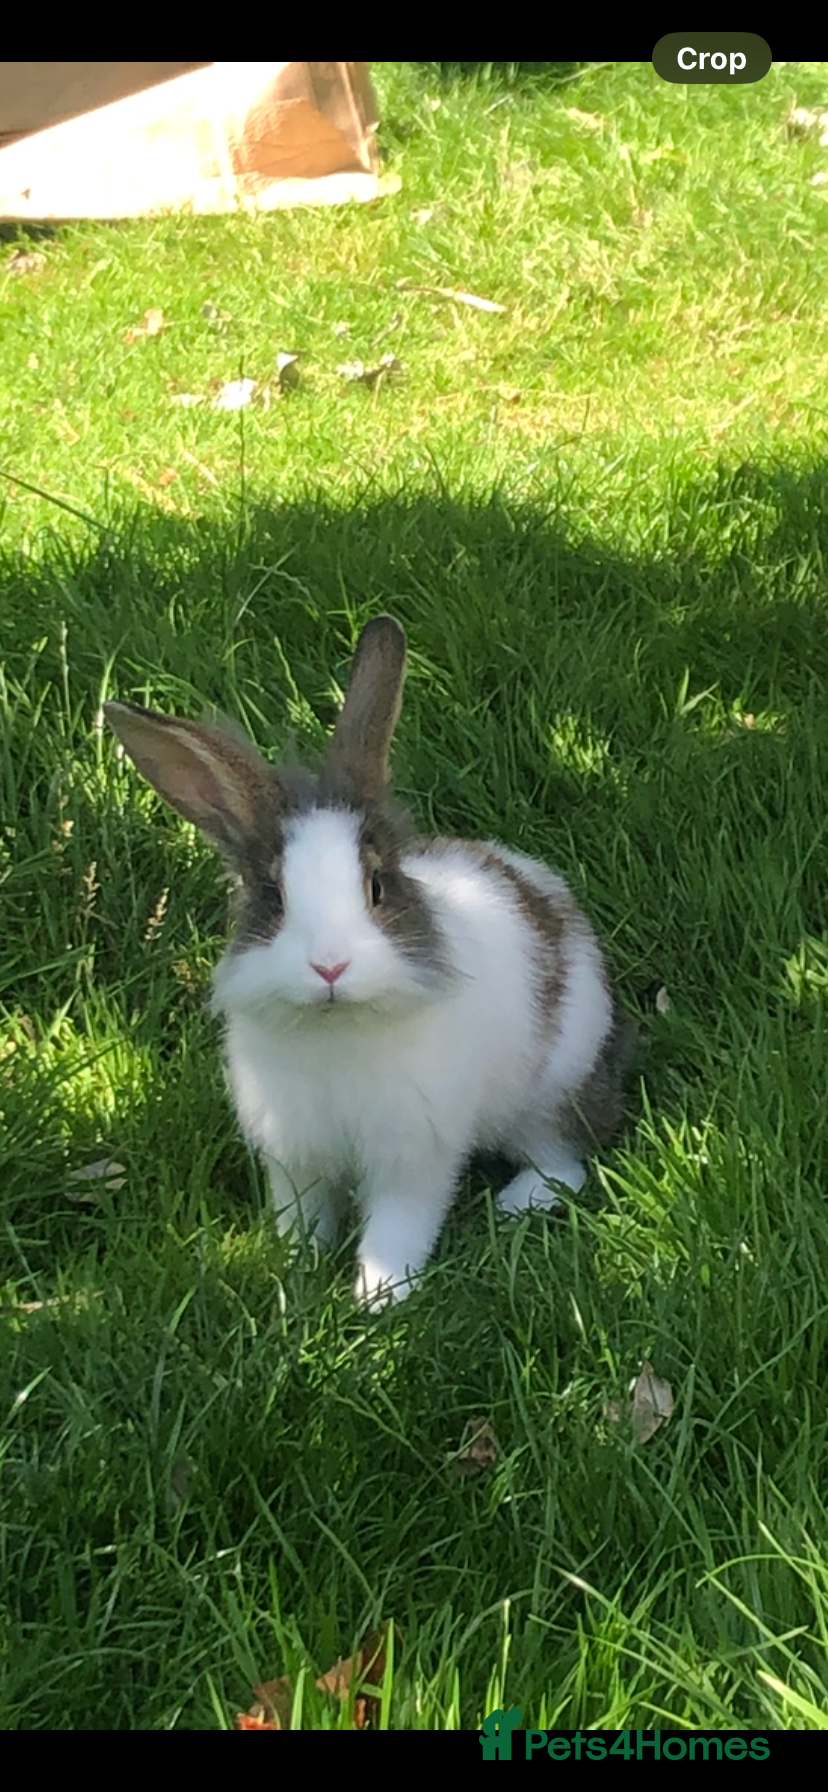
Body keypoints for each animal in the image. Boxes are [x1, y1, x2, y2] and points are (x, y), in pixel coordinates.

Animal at [105, 616, 633, 1308]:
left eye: (377, 888)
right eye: (273, 898)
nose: (330, 967)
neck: (338, 1029)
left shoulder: (414, 1154)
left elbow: (399, 1225)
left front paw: (380, 1298)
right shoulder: (293, 1156)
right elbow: (302, 1218)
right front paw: (296, 1273)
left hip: (550, 1093)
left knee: (564, 1161)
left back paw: (516, 1203)